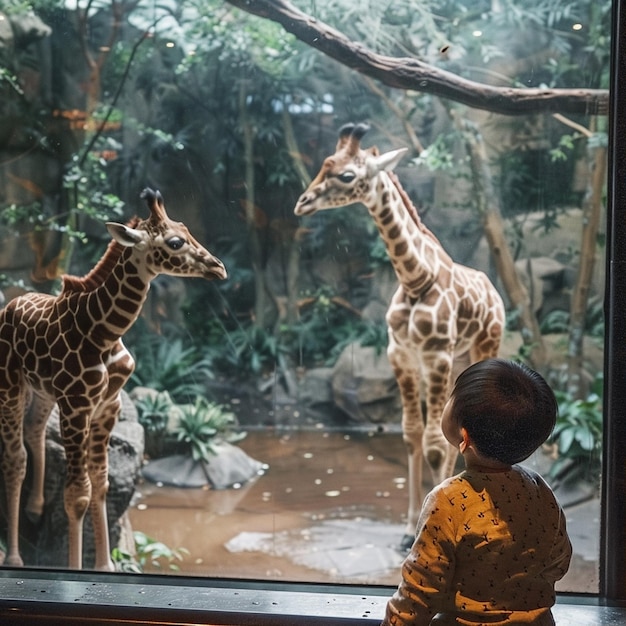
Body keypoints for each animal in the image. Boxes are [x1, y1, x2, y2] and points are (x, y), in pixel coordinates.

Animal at [0, 188, 227, 568]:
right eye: (175, 242)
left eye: (186, 228)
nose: (218, 267)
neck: (105, 332)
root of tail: (10, 305)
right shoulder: (76, 407)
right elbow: (77, 493)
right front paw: (78, 568)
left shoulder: (108, 405)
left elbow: (101, 482)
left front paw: (105, 565)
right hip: (11, 386)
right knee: (15, 458)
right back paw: (15, 558)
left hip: (43, 392)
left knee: (34, 431)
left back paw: (35, 508)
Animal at [292, 123, 502, 544]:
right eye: (324, 163)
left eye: (347, 175)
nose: (302, 203)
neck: (415, 278)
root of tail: (496, 293)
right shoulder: (401, 357)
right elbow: (411, 434)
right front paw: (408, 528)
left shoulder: (434, 355)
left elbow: (434, 443)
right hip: (455, 362)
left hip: (483, 347)